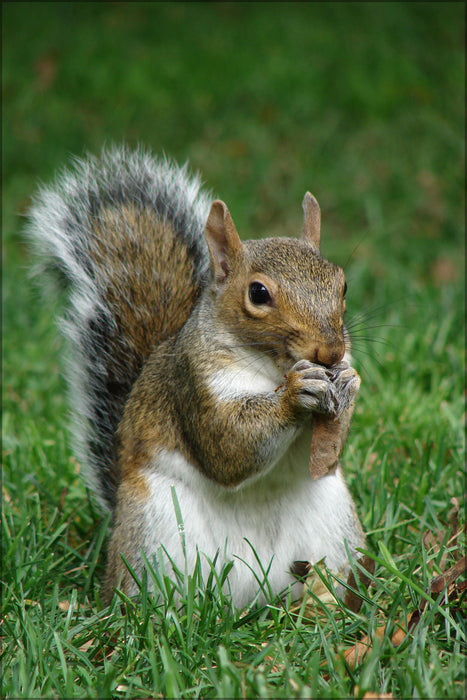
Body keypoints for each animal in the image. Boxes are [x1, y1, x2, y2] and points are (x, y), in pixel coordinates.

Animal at [28, 144, 366, 608]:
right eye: (258, 293)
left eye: (343, 284)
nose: (330, 352)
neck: (271, 368)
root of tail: (253, 597)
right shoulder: (191, 385)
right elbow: (227, 447)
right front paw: (295, 395)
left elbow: (326, 457)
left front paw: (347, 383)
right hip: (153, 530)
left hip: (334, 530)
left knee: (328, 577)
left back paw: (326, 606)